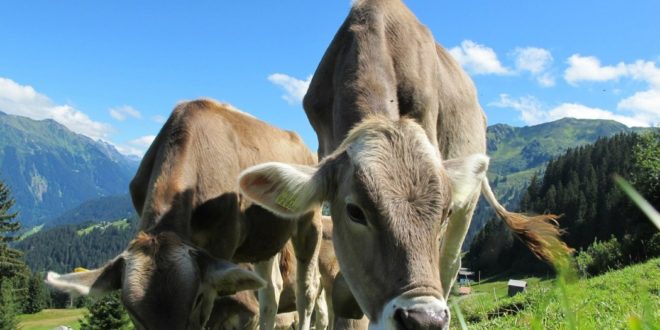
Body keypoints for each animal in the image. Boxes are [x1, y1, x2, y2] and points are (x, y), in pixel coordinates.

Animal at [45, 100, 324, 330]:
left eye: (196, 298)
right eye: (131, 311)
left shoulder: (222, 245)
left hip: (310, 221)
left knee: (307, 291)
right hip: (264, 239)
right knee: (271, 291)